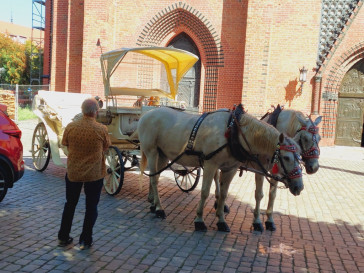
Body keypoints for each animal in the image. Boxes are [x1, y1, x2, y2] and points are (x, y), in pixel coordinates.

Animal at [135, 106, 302, 232]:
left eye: (299, 157)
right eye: (287, 157)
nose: (299, 187)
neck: (234, 132)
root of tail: (147, 114)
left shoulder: (230, 168)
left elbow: (223, 194)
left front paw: (221, 221)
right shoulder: (211, 164)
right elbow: (204, 192)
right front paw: (199, 220)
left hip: (163, 155)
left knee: (155, 177)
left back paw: (154, 204)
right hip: (151, 152)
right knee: (154, 179)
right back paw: (159, 209)